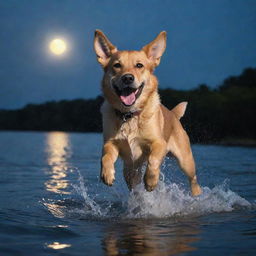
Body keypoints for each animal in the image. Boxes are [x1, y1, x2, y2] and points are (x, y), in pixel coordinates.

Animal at [93, 29, 202, 196]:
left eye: (139, 65)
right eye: (117, 65)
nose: (127, 78)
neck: (129, 115)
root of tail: (173, 115)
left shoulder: (158, 142)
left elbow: (153, 160)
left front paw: (150, 181)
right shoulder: (110, 143)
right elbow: (105, 157)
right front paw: (107, 174)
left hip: (186, 162)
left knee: (194, 180)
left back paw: (196, 194)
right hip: (130, 170)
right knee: (133, 182)